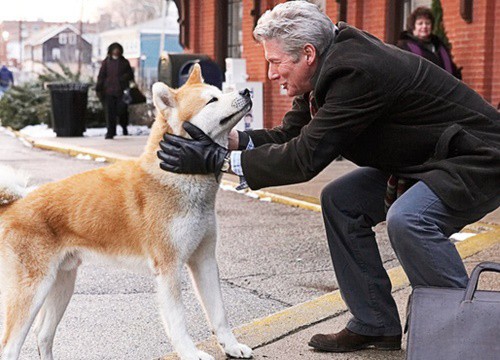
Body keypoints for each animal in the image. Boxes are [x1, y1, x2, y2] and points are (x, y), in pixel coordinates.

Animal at [0, 64, 252, 360]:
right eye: (212, 100)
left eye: (219, 91)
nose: (246, 91)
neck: (176, 176)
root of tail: (15, 205)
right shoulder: (168, 268)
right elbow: (178, 321)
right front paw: (191, 353)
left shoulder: (204, 260)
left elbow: (219, 314)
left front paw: (232, 345)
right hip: (33, 291)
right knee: (10, 347)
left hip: (62, 284)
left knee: (43, 336)